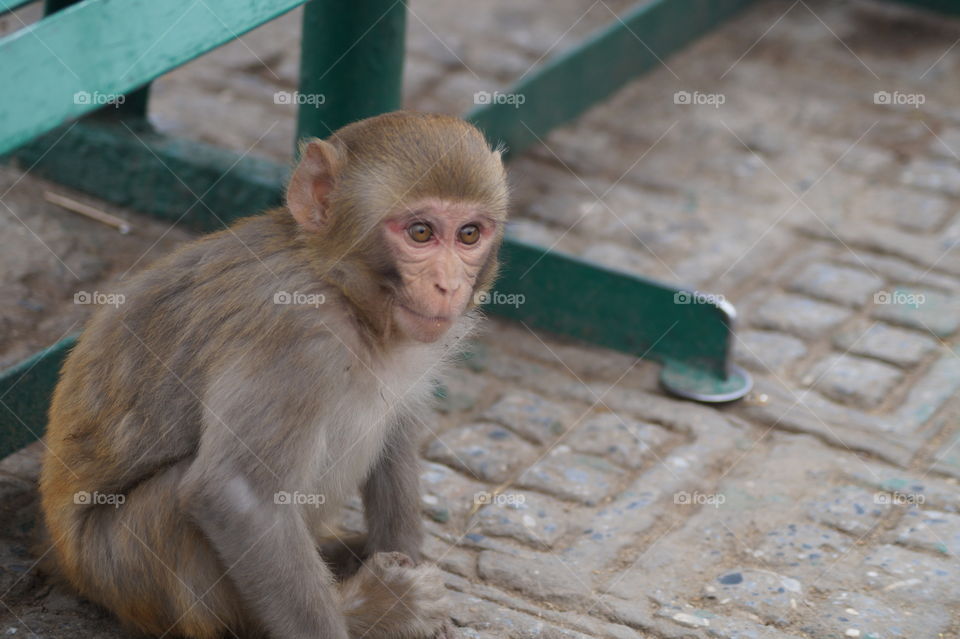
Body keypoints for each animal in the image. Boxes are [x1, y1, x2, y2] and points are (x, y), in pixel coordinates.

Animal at [37, 111, 509, 639]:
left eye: (468, 234)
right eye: (421, 232)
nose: (447, 284)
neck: (341, 288)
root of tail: (66, 561)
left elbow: (397, 438)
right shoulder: (296, 339)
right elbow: (240, 497)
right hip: (124, 568)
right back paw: (372, 608)